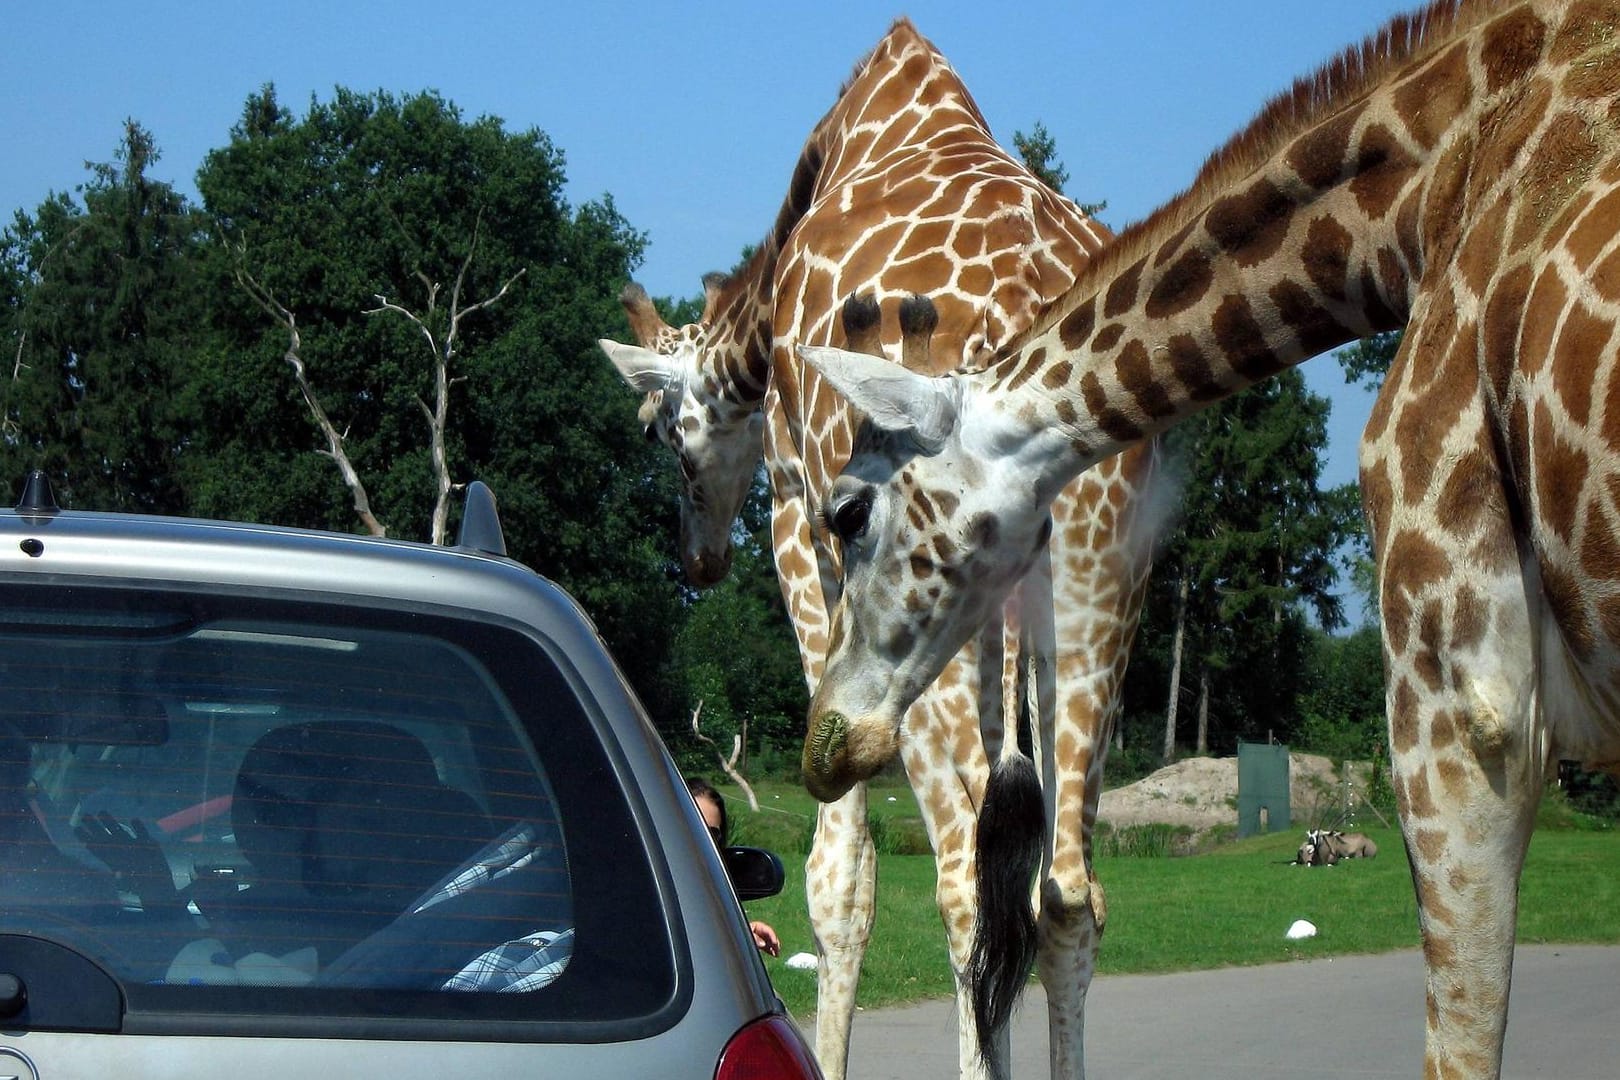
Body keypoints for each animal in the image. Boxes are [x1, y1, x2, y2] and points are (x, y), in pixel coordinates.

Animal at [596, 19, 1153, 1080]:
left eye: (658, 432)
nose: (696, 558)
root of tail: (1018, 302)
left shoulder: (798, 520)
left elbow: (838, 872)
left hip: (934, 608)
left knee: (970, 880)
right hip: (1104, 577)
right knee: (1066, 892)